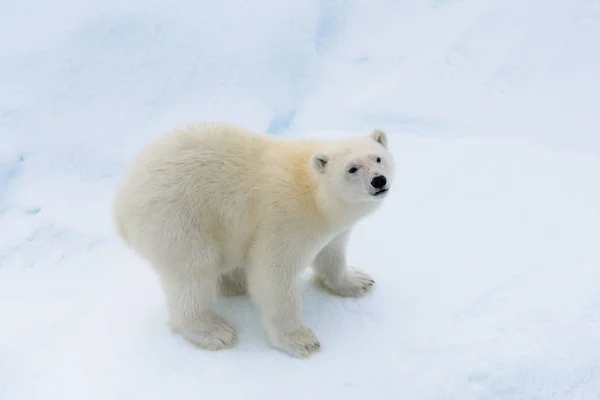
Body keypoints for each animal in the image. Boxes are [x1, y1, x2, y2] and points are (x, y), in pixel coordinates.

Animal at [113, 122, 394, 356]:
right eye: (352, 168)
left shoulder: (332, 228)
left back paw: (234, 282)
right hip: (177, 218)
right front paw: (301, 340)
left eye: (378, 157)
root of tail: (120, 207)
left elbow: (331, 252)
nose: (379, 180)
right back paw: (214, 330)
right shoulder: (285, 220)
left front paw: (358, 281)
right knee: (193, 271)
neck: (314, 194)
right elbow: (272, 274)